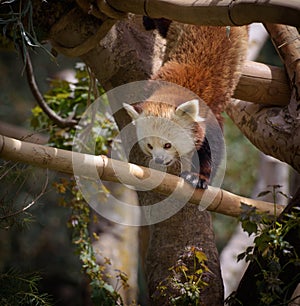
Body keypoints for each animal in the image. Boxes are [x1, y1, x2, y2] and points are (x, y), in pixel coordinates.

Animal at [123, 22, 247, 188]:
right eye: (150, 145)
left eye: (167, 145)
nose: (158, 160)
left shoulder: (209, 114)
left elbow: (213, 147)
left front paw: (198, 177)